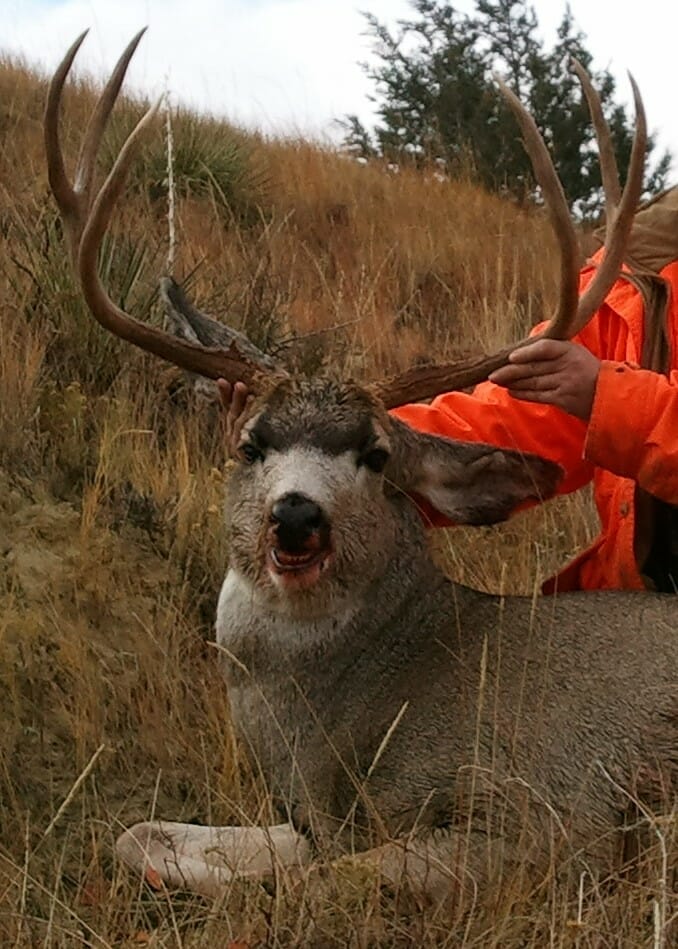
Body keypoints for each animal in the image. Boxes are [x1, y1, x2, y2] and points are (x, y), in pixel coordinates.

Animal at [45, 31, 677, 903]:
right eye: (251, 442)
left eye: (376, 454)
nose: (296, 514)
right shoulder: (308, 820)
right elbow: (141, 836)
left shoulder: (550, 811)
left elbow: (325, 885)